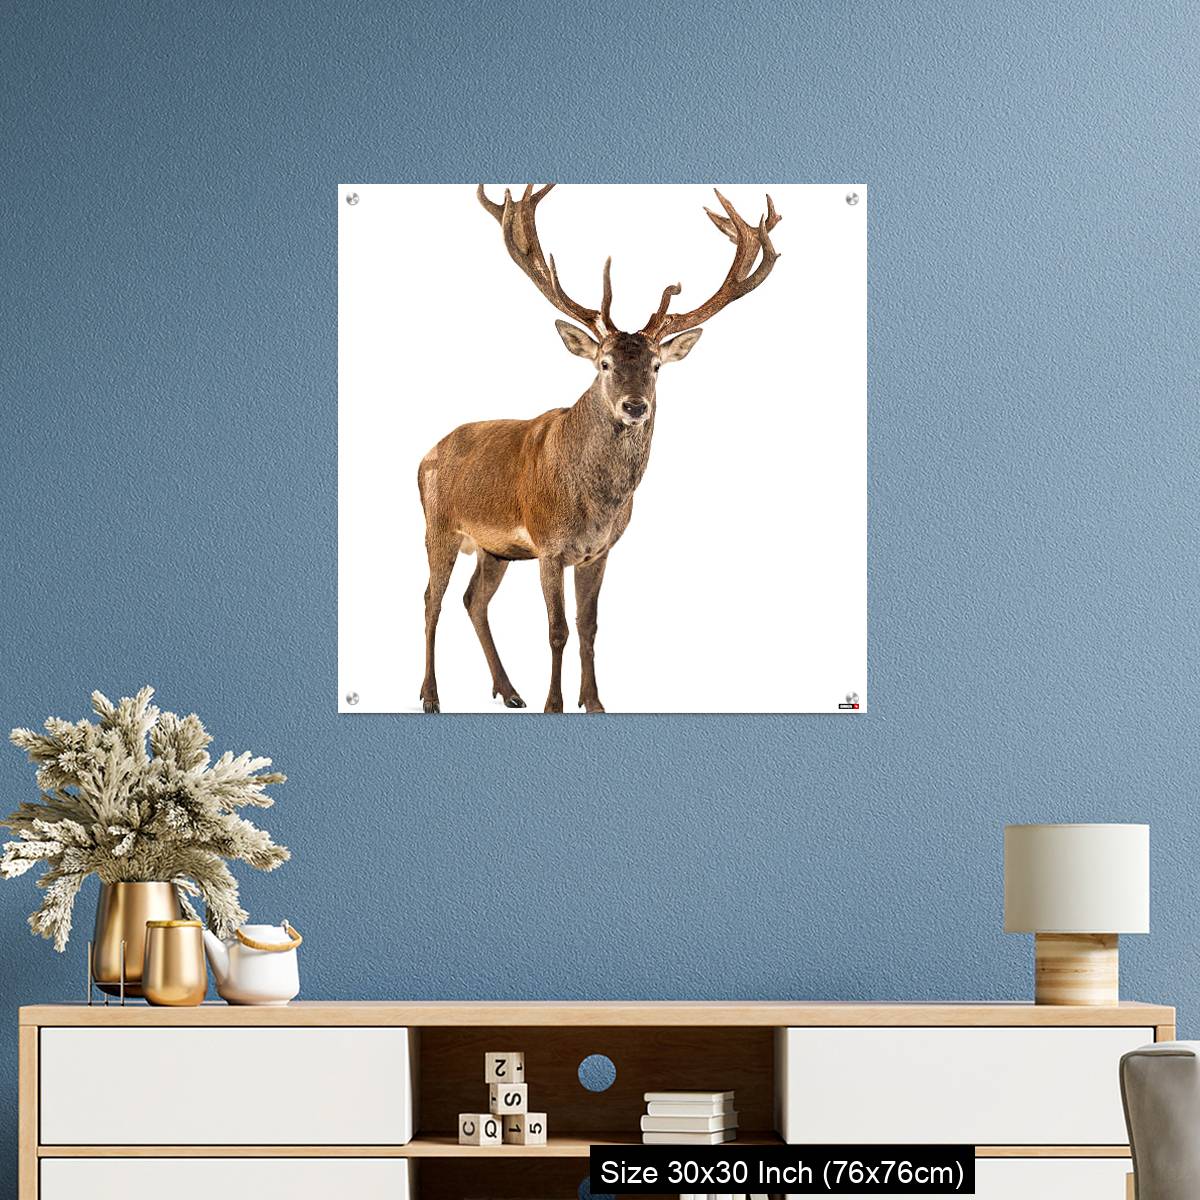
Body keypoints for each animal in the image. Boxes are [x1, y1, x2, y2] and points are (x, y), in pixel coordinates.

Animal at [417, 184, 781, 714]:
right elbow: (557, 630)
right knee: (432, 599)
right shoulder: (549, 545)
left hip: (494, 548)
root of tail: (425, 455)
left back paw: (509, 691)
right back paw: (430, 695)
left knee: (473, 600)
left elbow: (589, 627)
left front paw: (594, 702)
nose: (635, 406)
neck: (595, 504)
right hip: (438, 527)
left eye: (656, 366)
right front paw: (554, 704)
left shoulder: (598, 552)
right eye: (604, 363)